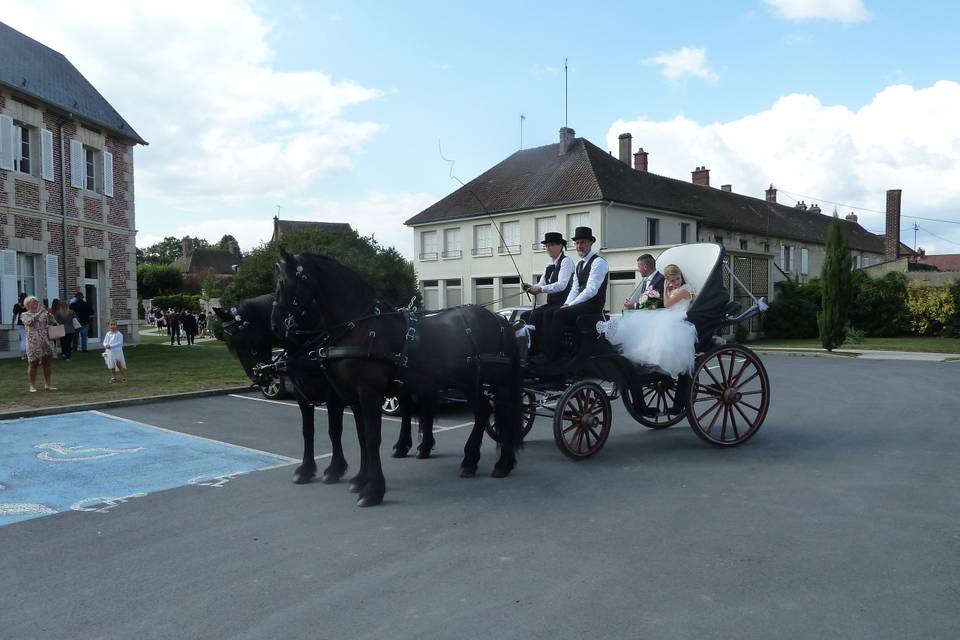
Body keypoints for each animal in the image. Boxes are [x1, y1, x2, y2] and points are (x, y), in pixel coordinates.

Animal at [274, 252, 520, 508]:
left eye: (288, 282)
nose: (277, 324)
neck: (361, 326)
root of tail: (500, 320)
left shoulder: (368, 393)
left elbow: (372, 439)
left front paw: (373, 489)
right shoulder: (353, 397)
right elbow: (361, 437)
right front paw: (360, 479)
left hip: (499, 382)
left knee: (504, 413)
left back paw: (502, 463)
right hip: (469, 381)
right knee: (483, 412)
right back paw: (470, 461)